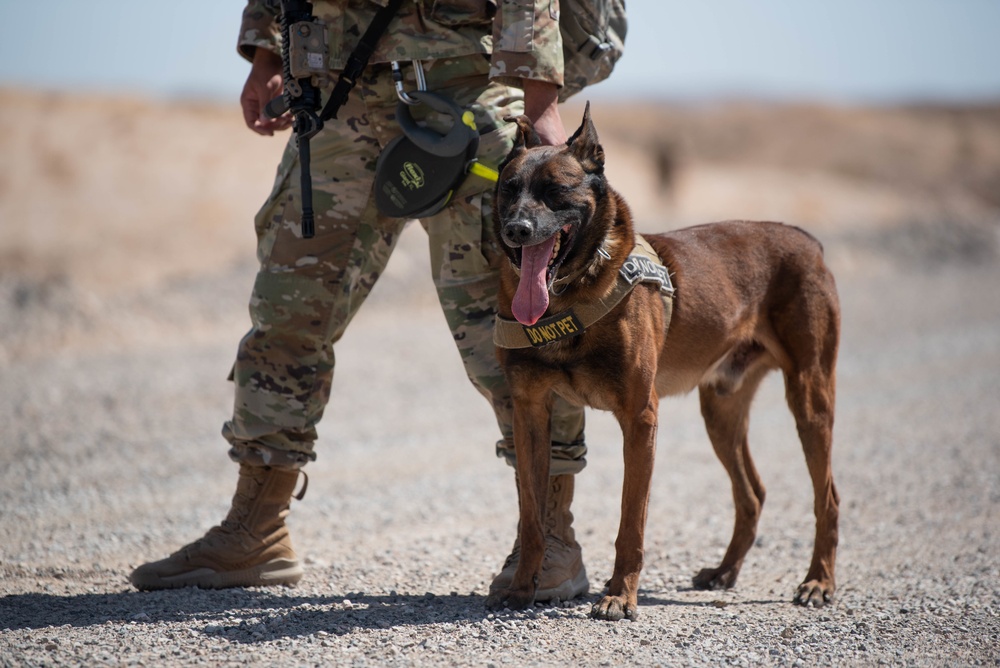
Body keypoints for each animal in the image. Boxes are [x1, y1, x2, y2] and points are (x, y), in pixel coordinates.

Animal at [488, 104, 840, 620]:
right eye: (509, 189)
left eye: (555, 191)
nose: (516, 229)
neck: (569, 297)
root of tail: (808, 241)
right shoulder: (530, 413)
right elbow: (532, 515)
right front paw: (521, 589)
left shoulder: (640, 419)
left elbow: (630, 523)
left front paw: (620, 595)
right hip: (721, 411)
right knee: (752, 493)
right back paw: (724, 571)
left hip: (810, 398)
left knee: (827, 497)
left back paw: (819, 581)